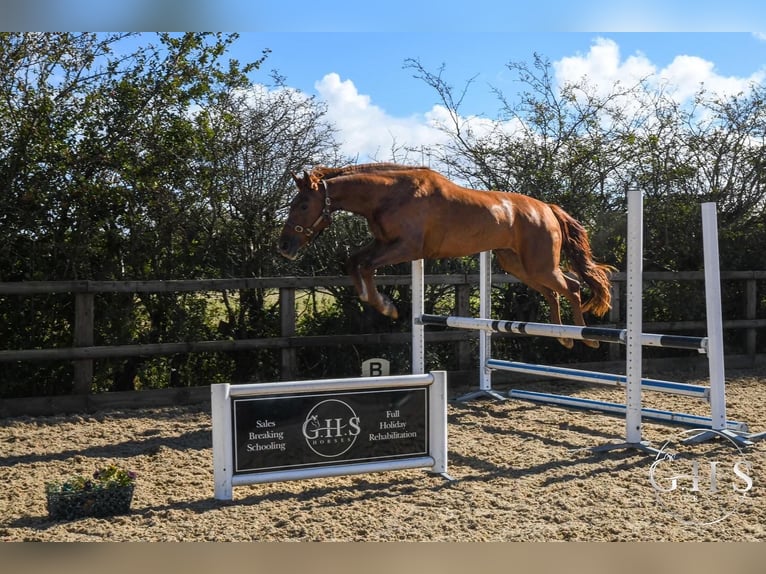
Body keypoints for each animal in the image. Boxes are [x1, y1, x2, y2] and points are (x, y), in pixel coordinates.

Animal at [280, 164, 616, 348]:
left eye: (303, 205)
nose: (284, 246)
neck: (390, 195)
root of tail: (547, 208)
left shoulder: (406, 248)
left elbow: (365, 265)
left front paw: (385, 307)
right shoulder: (383, 243)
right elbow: (354, 261)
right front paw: (373, 301)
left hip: (540, 265)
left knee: (572, 287)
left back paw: (586, 338)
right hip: (518, 266)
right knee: (554, 293)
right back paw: (564, 336)